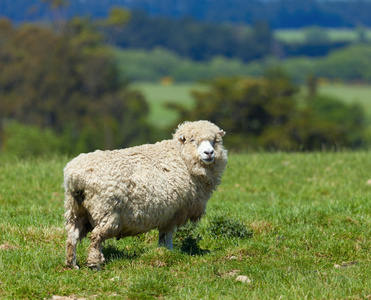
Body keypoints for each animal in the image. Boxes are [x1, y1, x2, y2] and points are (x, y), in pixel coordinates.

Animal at [62, 119, 228, 270]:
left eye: (214, 141)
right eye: (192, 140)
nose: (209, 153)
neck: (181, 157)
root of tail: (76, 177)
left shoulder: (167, 212)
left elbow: (163, 236)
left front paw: (164, 252)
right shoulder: (173, 212)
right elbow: (167, 234)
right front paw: (170, 251)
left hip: (76, 209)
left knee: (72, 236)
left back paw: (72, 264)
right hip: (105, 210)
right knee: (96, 237)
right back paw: (94, 264)